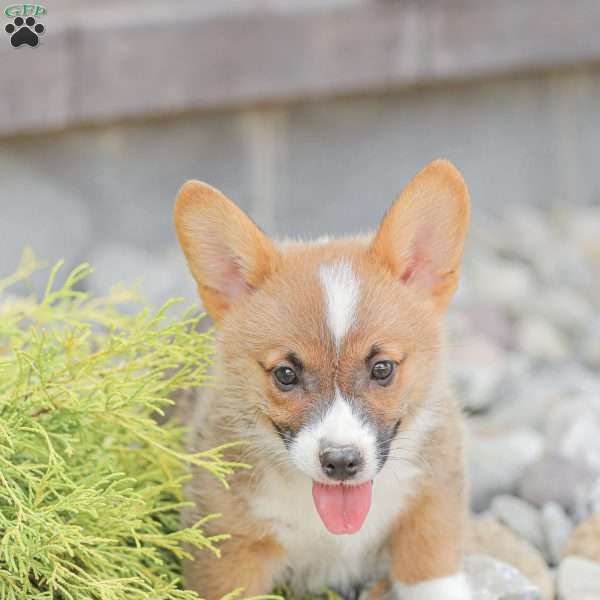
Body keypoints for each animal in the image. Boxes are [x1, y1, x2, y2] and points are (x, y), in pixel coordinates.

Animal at [176, 159, 472, 600]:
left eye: (382, 369)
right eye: (286, 374)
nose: (342, 462)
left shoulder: (430, 507)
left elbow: (431, 576)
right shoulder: (232, 551)